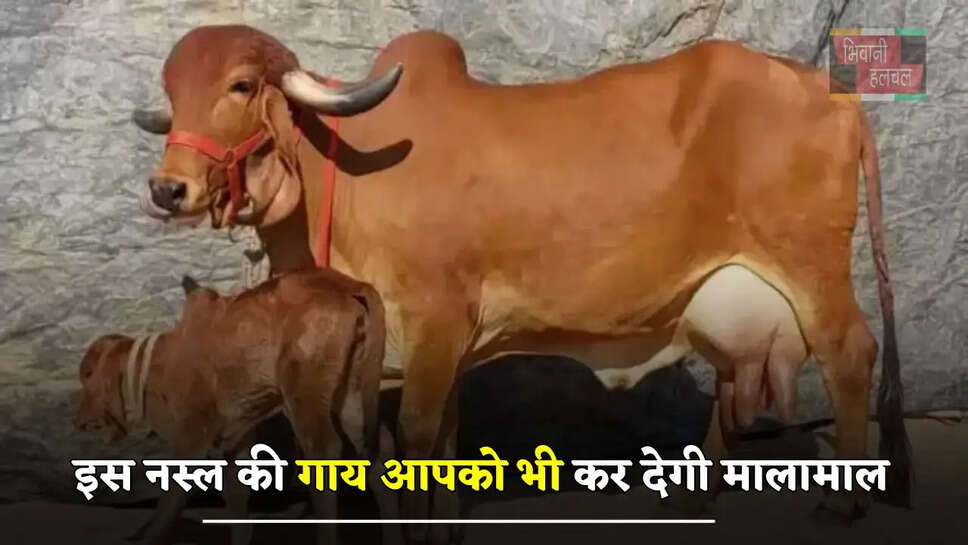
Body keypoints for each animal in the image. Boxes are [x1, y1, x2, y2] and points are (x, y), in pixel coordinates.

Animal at [75, 270, 388, 545]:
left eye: (87, 374)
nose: (80, 420)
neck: (162, 363)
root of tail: (352, 286)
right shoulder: (234, 439)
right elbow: (237, 503)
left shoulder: (193, 432)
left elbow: (171, 499)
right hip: (352, 394)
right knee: (379, 451)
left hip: (304, 397)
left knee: (324, 453)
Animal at [130, 25, 911, 543]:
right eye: (171, 92)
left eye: (240, 85)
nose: (168, 189)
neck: (343, 175)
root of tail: (831, 92)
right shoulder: (422, 351)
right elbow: (435, 439)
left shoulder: (436, 319)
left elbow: (416, 437)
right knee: (735, 382)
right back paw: (691, 500)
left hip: (811, 262)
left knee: (850, 352)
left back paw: (843, 503)